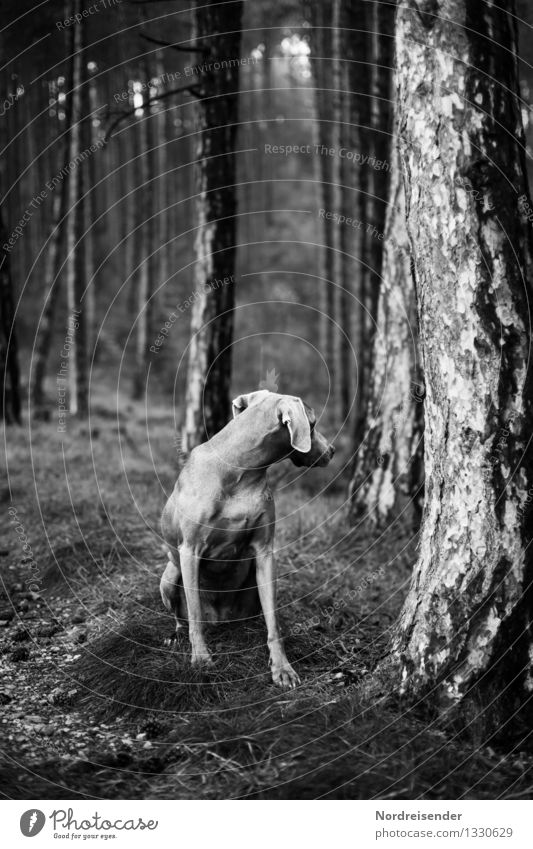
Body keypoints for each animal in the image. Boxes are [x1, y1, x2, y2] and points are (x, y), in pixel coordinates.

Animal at [159, 390, 332, 688]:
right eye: (313, 424)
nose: (332, 451)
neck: (241, 469)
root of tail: (220, 620)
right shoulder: (190, 550)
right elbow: (194, 615)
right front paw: (201, 660)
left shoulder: (264, 551)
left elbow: (274, 622)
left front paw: (282, 668)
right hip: (169, 577)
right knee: (183, 616)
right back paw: (178, 635)